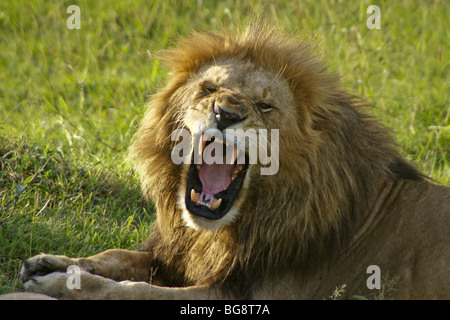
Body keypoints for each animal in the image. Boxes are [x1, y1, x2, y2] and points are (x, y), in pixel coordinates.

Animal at [16, 25, 446, 300]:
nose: (226, 113)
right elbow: (116, 256)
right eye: (208, 88)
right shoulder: (179, 257)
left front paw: (61, 283)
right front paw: (51, 263)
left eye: (264, 105)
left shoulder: (239, 290)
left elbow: (133, 291)